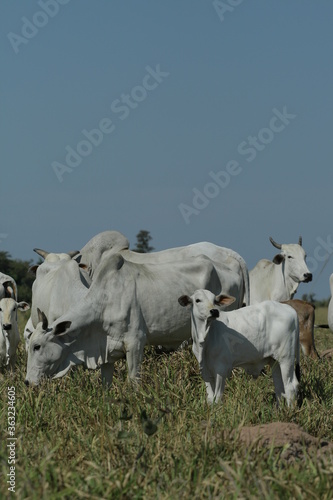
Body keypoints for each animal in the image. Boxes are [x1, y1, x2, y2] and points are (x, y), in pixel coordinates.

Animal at [24, 254, 224, 386]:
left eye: (37, 346)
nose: (27, 382)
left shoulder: (135, 343)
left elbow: (133, 381)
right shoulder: (106, 353)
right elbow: (105, 385)